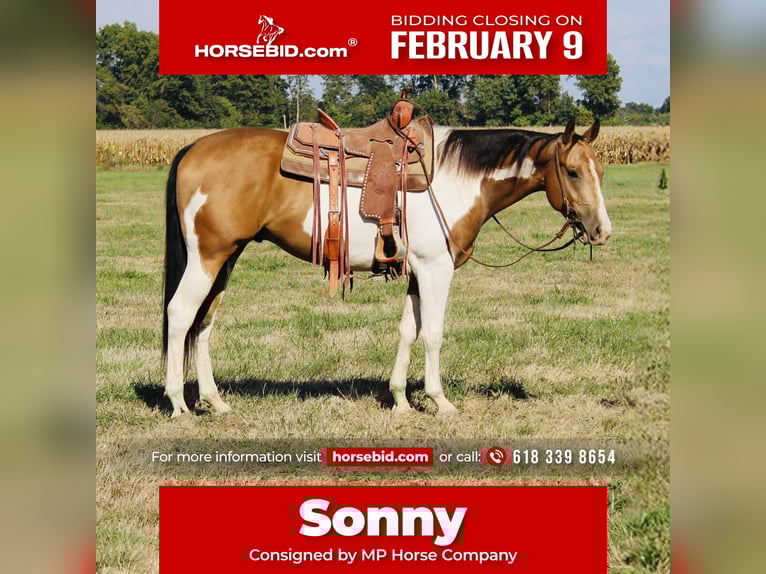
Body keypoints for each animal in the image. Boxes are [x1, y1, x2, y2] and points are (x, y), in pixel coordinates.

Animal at [161, 118, 611, 418]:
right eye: (572, 171)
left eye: (601, 170)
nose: (601, 230)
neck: (453, 180)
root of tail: (192, 148)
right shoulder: (436, 270)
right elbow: (433, 334)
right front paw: (439, 400)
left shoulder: (417, 273)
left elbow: (408, 331)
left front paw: (399, 399)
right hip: (208, 257)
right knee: (181, 315)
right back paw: (179, 403)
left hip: (226, 258)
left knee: (203, 323)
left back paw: (215, 402)